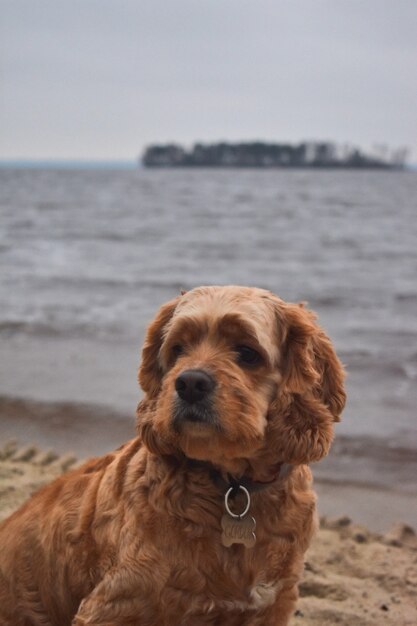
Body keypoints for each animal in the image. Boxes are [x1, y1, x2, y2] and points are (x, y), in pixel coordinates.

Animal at [0, 286, 344, 620]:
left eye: (248, 353)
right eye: (178, 349)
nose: (190, 383)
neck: (232, 486)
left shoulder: (274, 602)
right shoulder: (117, 601)